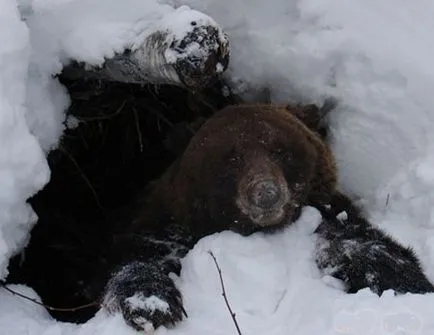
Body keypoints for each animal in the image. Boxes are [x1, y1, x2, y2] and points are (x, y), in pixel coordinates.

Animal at [99, 103, 434, 334]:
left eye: (280, 150)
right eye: (231, 157)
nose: (266, 192)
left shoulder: (327, 215)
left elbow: (362, 245)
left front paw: (406, 281)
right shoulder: (166, 223)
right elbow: (143, 254)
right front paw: (151, 305)